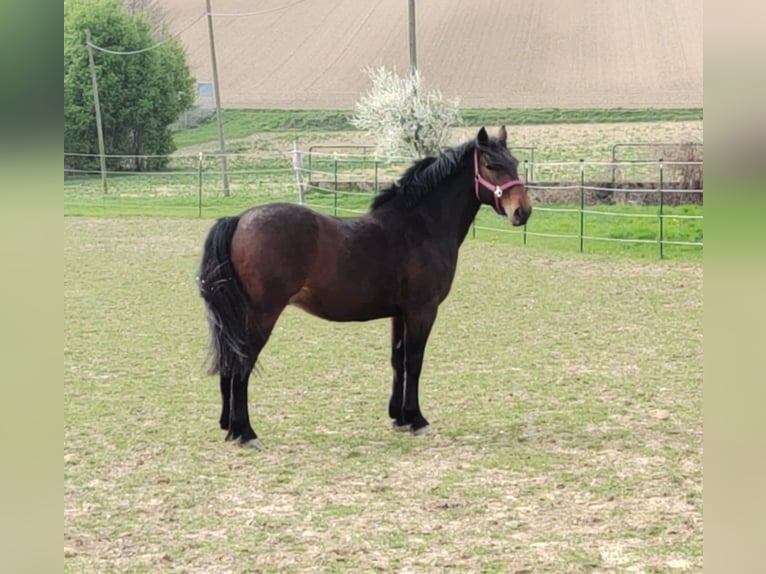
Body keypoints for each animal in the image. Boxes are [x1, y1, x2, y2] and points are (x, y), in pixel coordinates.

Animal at [200, 127, 536, 450]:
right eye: (492, 166)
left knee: (230, 362)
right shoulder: (422, 310)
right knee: (242, 363)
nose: (523, 212)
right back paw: (245, 432)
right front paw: (417, 419)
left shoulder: (399, 313)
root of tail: (239, 219)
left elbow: (398, 360)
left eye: (515, 163)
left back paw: (229, 427)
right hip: (262, 315)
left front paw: (399, 417)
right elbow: (414, 361)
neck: (419, 227)